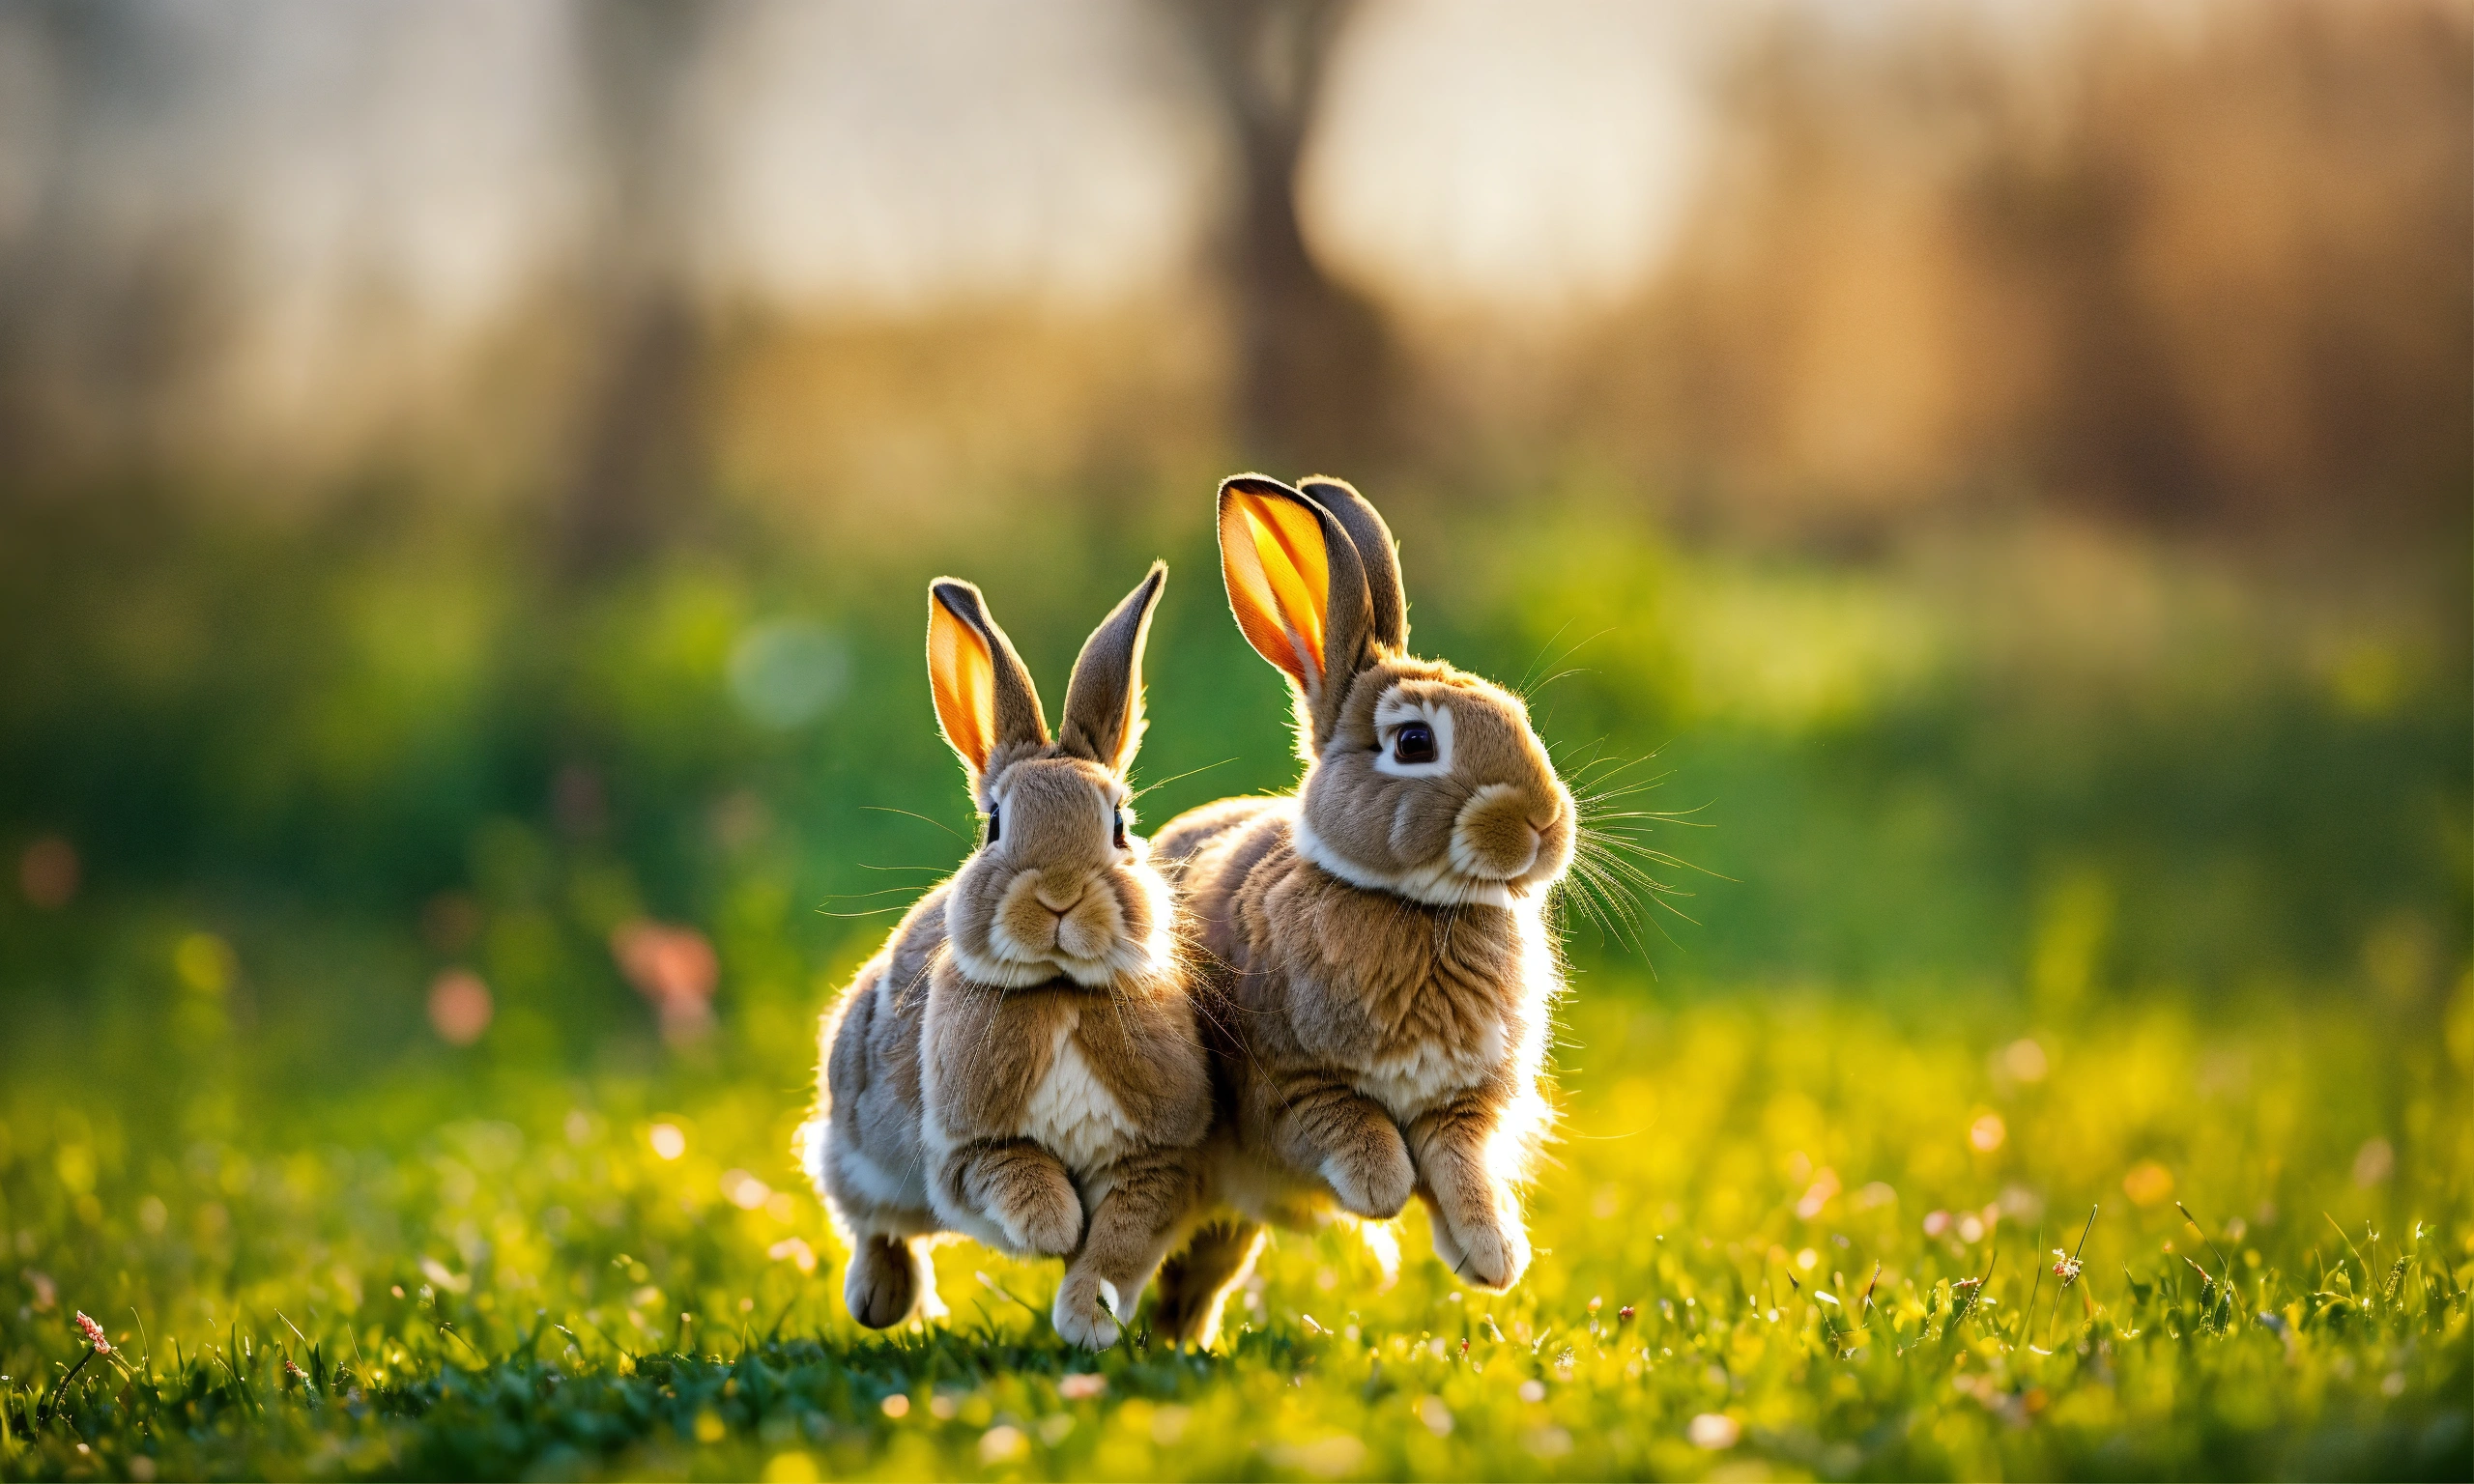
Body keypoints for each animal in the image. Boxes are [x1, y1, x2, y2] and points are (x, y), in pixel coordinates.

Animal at [799, 563, 1213, 1350]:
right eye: (994, 824)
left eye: (1121, 824)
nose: (1058, 896)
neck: (1060, 992)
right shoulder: (969, 1153)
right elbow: (1024, 1181)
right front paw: (1056, 1231)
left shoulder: (1155, 1163)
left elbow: (1114, 1247)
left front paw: (1086, 1320)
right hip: (861, 1150)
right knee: (873, 1223)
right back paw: (880, 1302)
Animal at [1143, 475, 1574, 1345]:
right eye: (1413, 743)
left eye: (1516, 715)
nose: (1546, 823)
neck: (1421, 909)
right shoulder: (1288, 1087)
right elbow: (1355, 1129)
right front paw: (1384, 1193)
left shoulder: (1461, 1108)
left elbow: (1463, 1168)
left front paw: (1491, 1255)